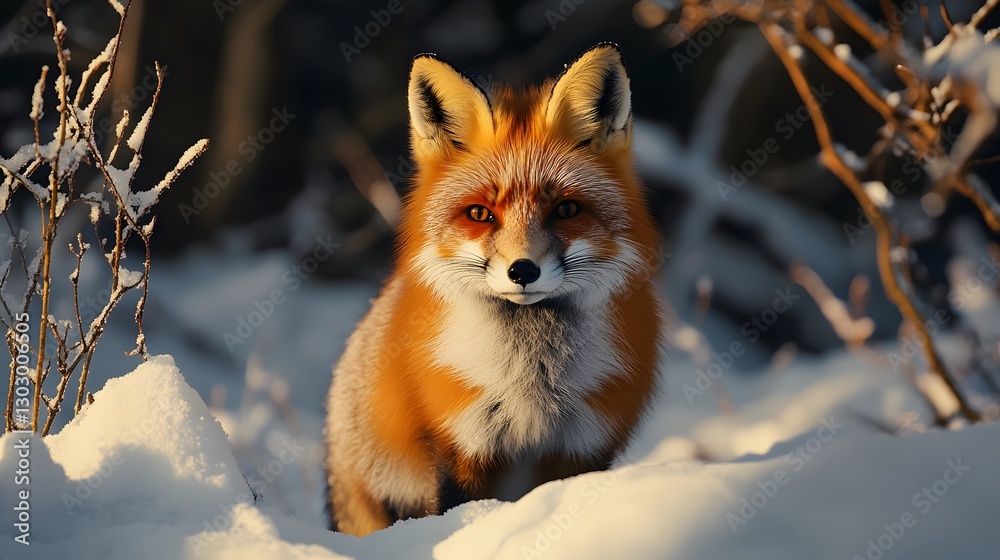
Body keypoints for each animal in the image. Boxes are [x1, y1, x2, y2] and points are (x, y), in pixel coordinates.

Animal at [325, 42, 665, 536]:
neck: (532, 384)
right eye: (480, 214)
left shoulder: (583, 444)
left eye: (566, 209)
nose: (522, 270)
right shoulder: (460, 443)